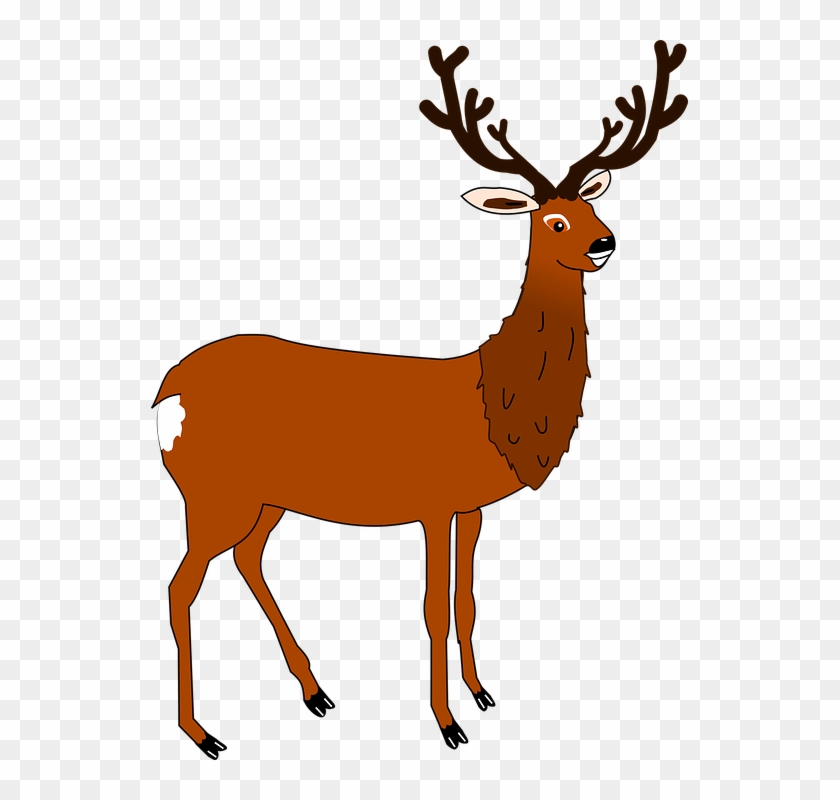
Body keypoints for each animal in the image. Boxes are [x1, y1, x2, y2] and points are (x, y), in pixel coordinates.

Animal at [153, 41, 687, 758]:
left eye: (592, 208)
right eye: (553, 220)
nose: (605, 242)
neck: (492, 403)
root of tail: (164, 394)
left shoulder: (472, 506)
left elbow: (467, 601)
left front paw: (483, 694)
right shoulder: (432, 504)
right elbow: (434, 608)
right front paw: (447, 724)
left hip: (265, 498)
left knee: (246, 559)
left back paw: (316, 692)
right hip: (213, 492)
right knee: (180, 587)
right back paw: (203, 732)